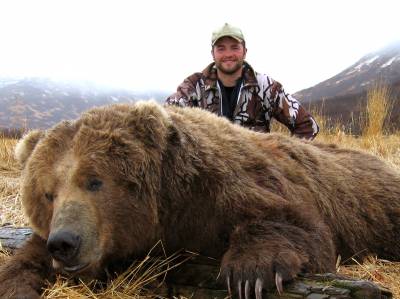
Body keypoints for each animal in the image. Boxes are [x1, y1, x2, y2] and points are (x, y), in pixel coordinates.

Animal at [0, 102, 400, 298]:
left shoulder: (221, 189)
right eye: (48, 194)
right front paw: (16, 283)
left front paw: (252, 271)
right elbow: (29, 257)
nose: (65, 242)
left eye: (94, 181)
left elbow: (296, 224)